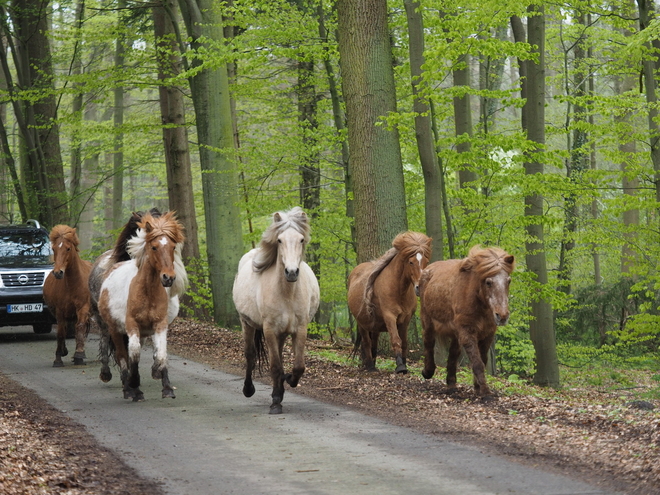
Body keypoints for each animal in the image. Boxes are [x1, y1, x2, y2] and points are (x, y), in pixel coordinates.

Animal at [42, 227, 93, 366]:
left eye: (68, 248)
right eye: (54, 248)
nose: (58, 273)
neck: (72, 284)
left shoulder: (83, 307)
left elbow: (80, 328)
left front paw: (79, 354)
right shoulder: (60, 310)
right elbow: (61, 332)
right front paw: (58, 358)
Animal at [96, 211, 187, 402]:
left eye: (173, 247)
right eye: (154, 247)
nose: (169, 278)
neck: (147, 292)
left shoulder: (159, 325)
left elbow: (161, 354)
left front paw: (167, 388)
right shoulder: (131, 325)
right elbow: (134, 354)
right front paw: (134, 386)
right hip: (115, 329)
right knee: (122, 356)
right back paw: (128, 388)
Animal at [233, 207, 320, 416]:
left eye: (301, 239)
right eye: (279, 240)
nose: (291, 272)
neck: (287, 293)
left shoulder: (300, 329)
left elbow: (298, 366)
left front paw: (288, 381)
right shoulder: (270, 330)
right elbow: (274, 366)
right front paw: (275, 403)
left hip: (281, 333)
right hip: (247, 323)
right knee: (250, 355)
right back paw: (249, 389)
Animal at [346, 231, 434, 374]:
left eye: (426, 261)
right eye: (411, 262)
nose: (420, 287)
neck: (399, 291)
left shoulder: (405, 319)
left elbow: (404, 343)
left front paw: (405, 364)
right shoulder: (390, 316)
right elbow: (396, 340)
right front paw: (400, 366)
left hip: (374, 326)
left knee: (374, 342)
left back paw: (373, 363)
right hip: (362, 323)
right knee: (366, 342)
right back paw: (370, 366)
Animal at [418, 246, 516, 398]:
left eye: (508, 281)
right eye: (488, 282)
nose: (502, 316)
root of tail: (428, 270)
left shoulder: (487, 334)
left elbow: (482, 360)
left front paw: (477, 388)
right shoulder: (467, 331)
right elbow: (477, 363)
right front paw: (486, 392)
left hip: (456, 334)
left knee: (453, 354)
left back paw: (451, 384)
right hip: (427, 320)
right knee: (428, 342)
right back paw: (428, 372)